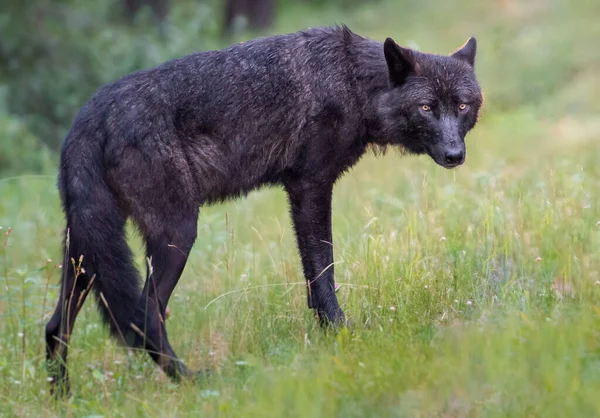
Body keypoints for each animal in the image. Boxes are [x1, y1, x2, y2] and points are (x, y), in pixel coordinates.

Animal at [47, 25, 486, 392]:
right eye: (427, 108)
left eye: (463, 106)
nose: (455, 155)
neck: (352, 83)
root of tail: (87, 120)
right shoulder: (310, 187)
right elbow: (324, 272)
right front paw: (342, 335)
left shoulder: (300, 190)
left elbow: (313, 279)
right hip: (176, 236)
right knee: (144, 317)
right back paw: (192, 381)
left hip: (87, 257)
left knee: (55, 327)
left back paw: (63, 397)